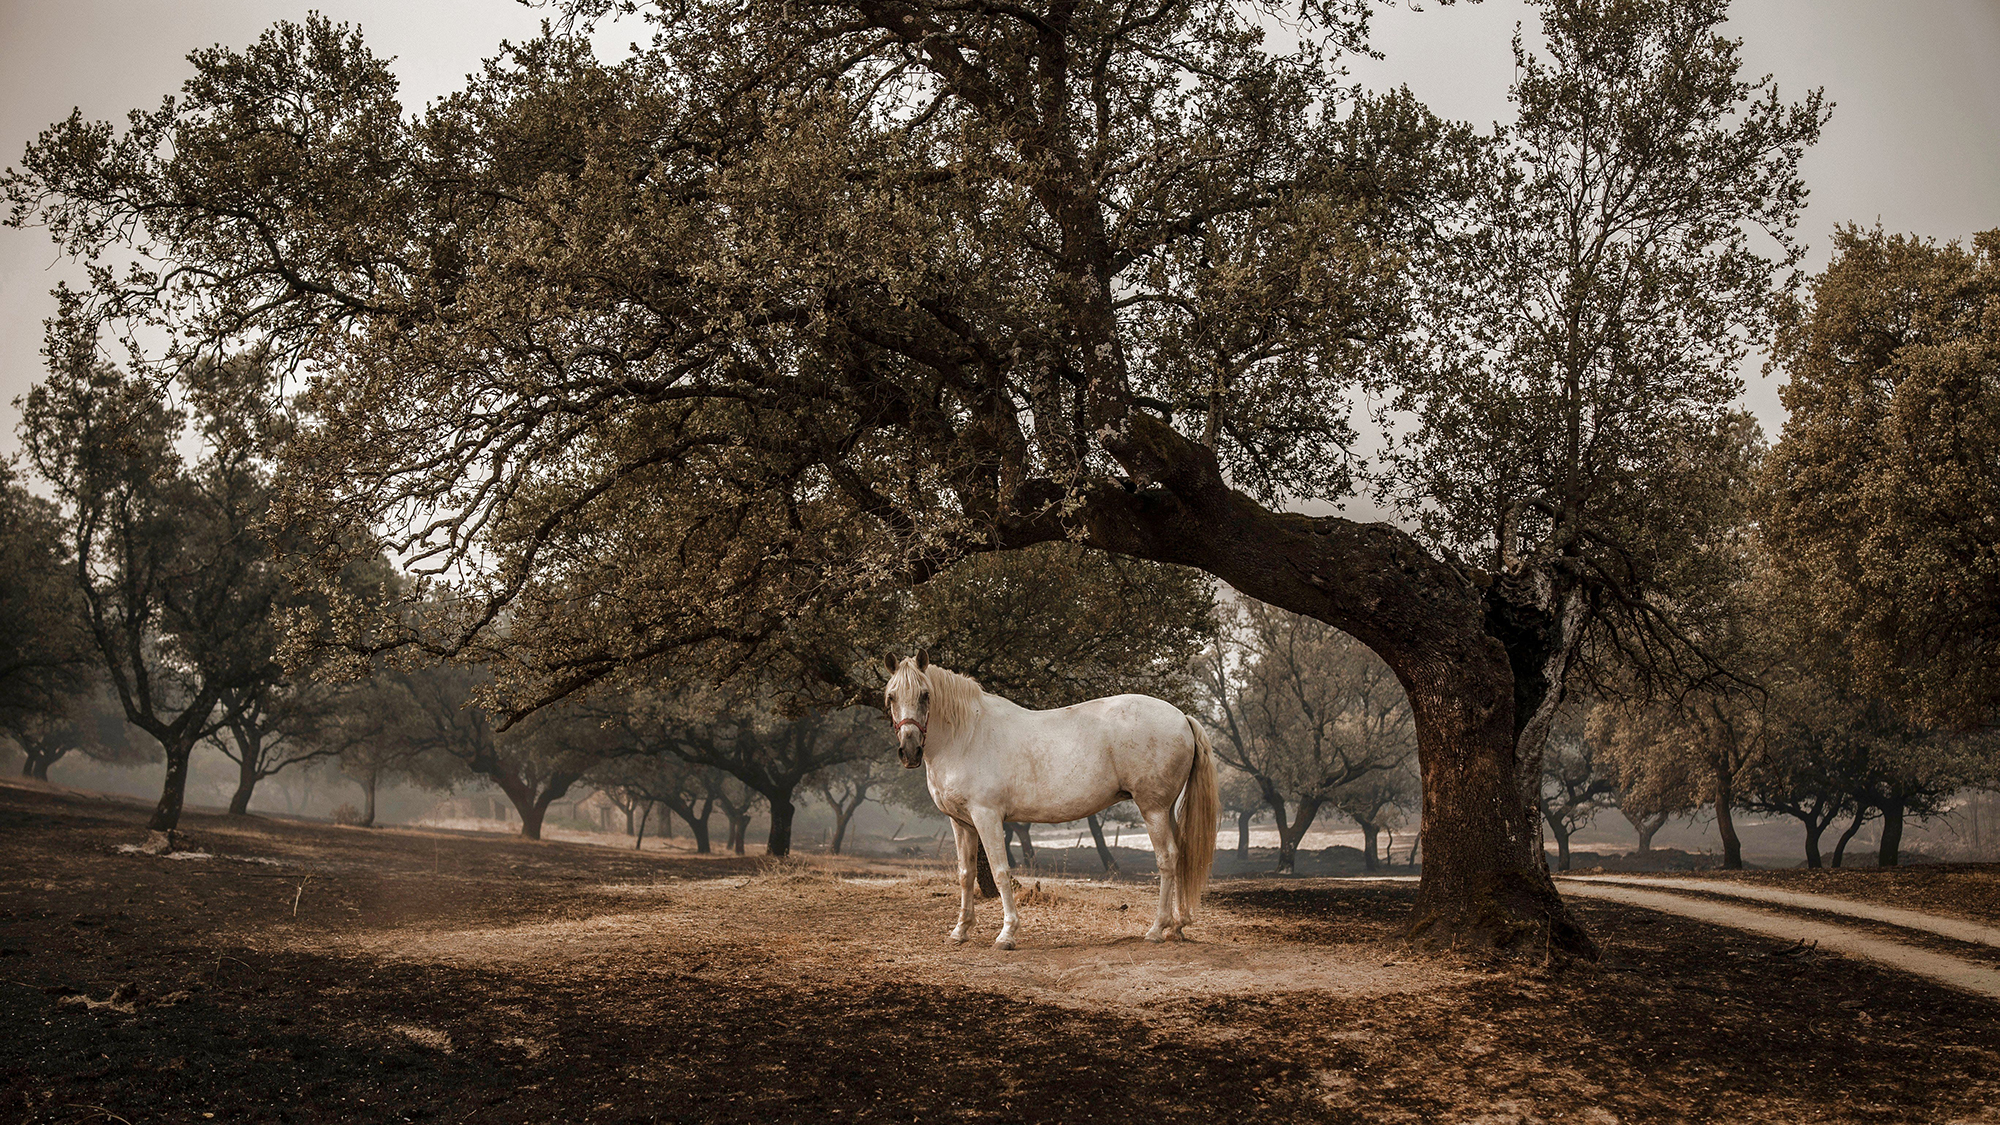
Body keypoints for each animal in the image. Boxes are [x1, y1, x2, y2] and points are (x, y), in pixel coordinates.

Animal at [883, 652, 1218, 949]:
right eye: (891, 697)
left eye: (925, 695)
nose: (909, 751)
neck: (966, 735)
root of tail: (1182, 717)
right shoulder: (961, 822)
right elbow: (966, 875)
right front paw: (960, 931)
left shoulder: (987, 817)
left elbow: (1000, 872)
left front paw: (1007, 934)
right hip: (1165, 810)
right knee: (1179, 856)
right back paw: (1177, 927)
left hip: (1153, 809)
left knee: (1167, 859)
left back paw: (1156, 929)